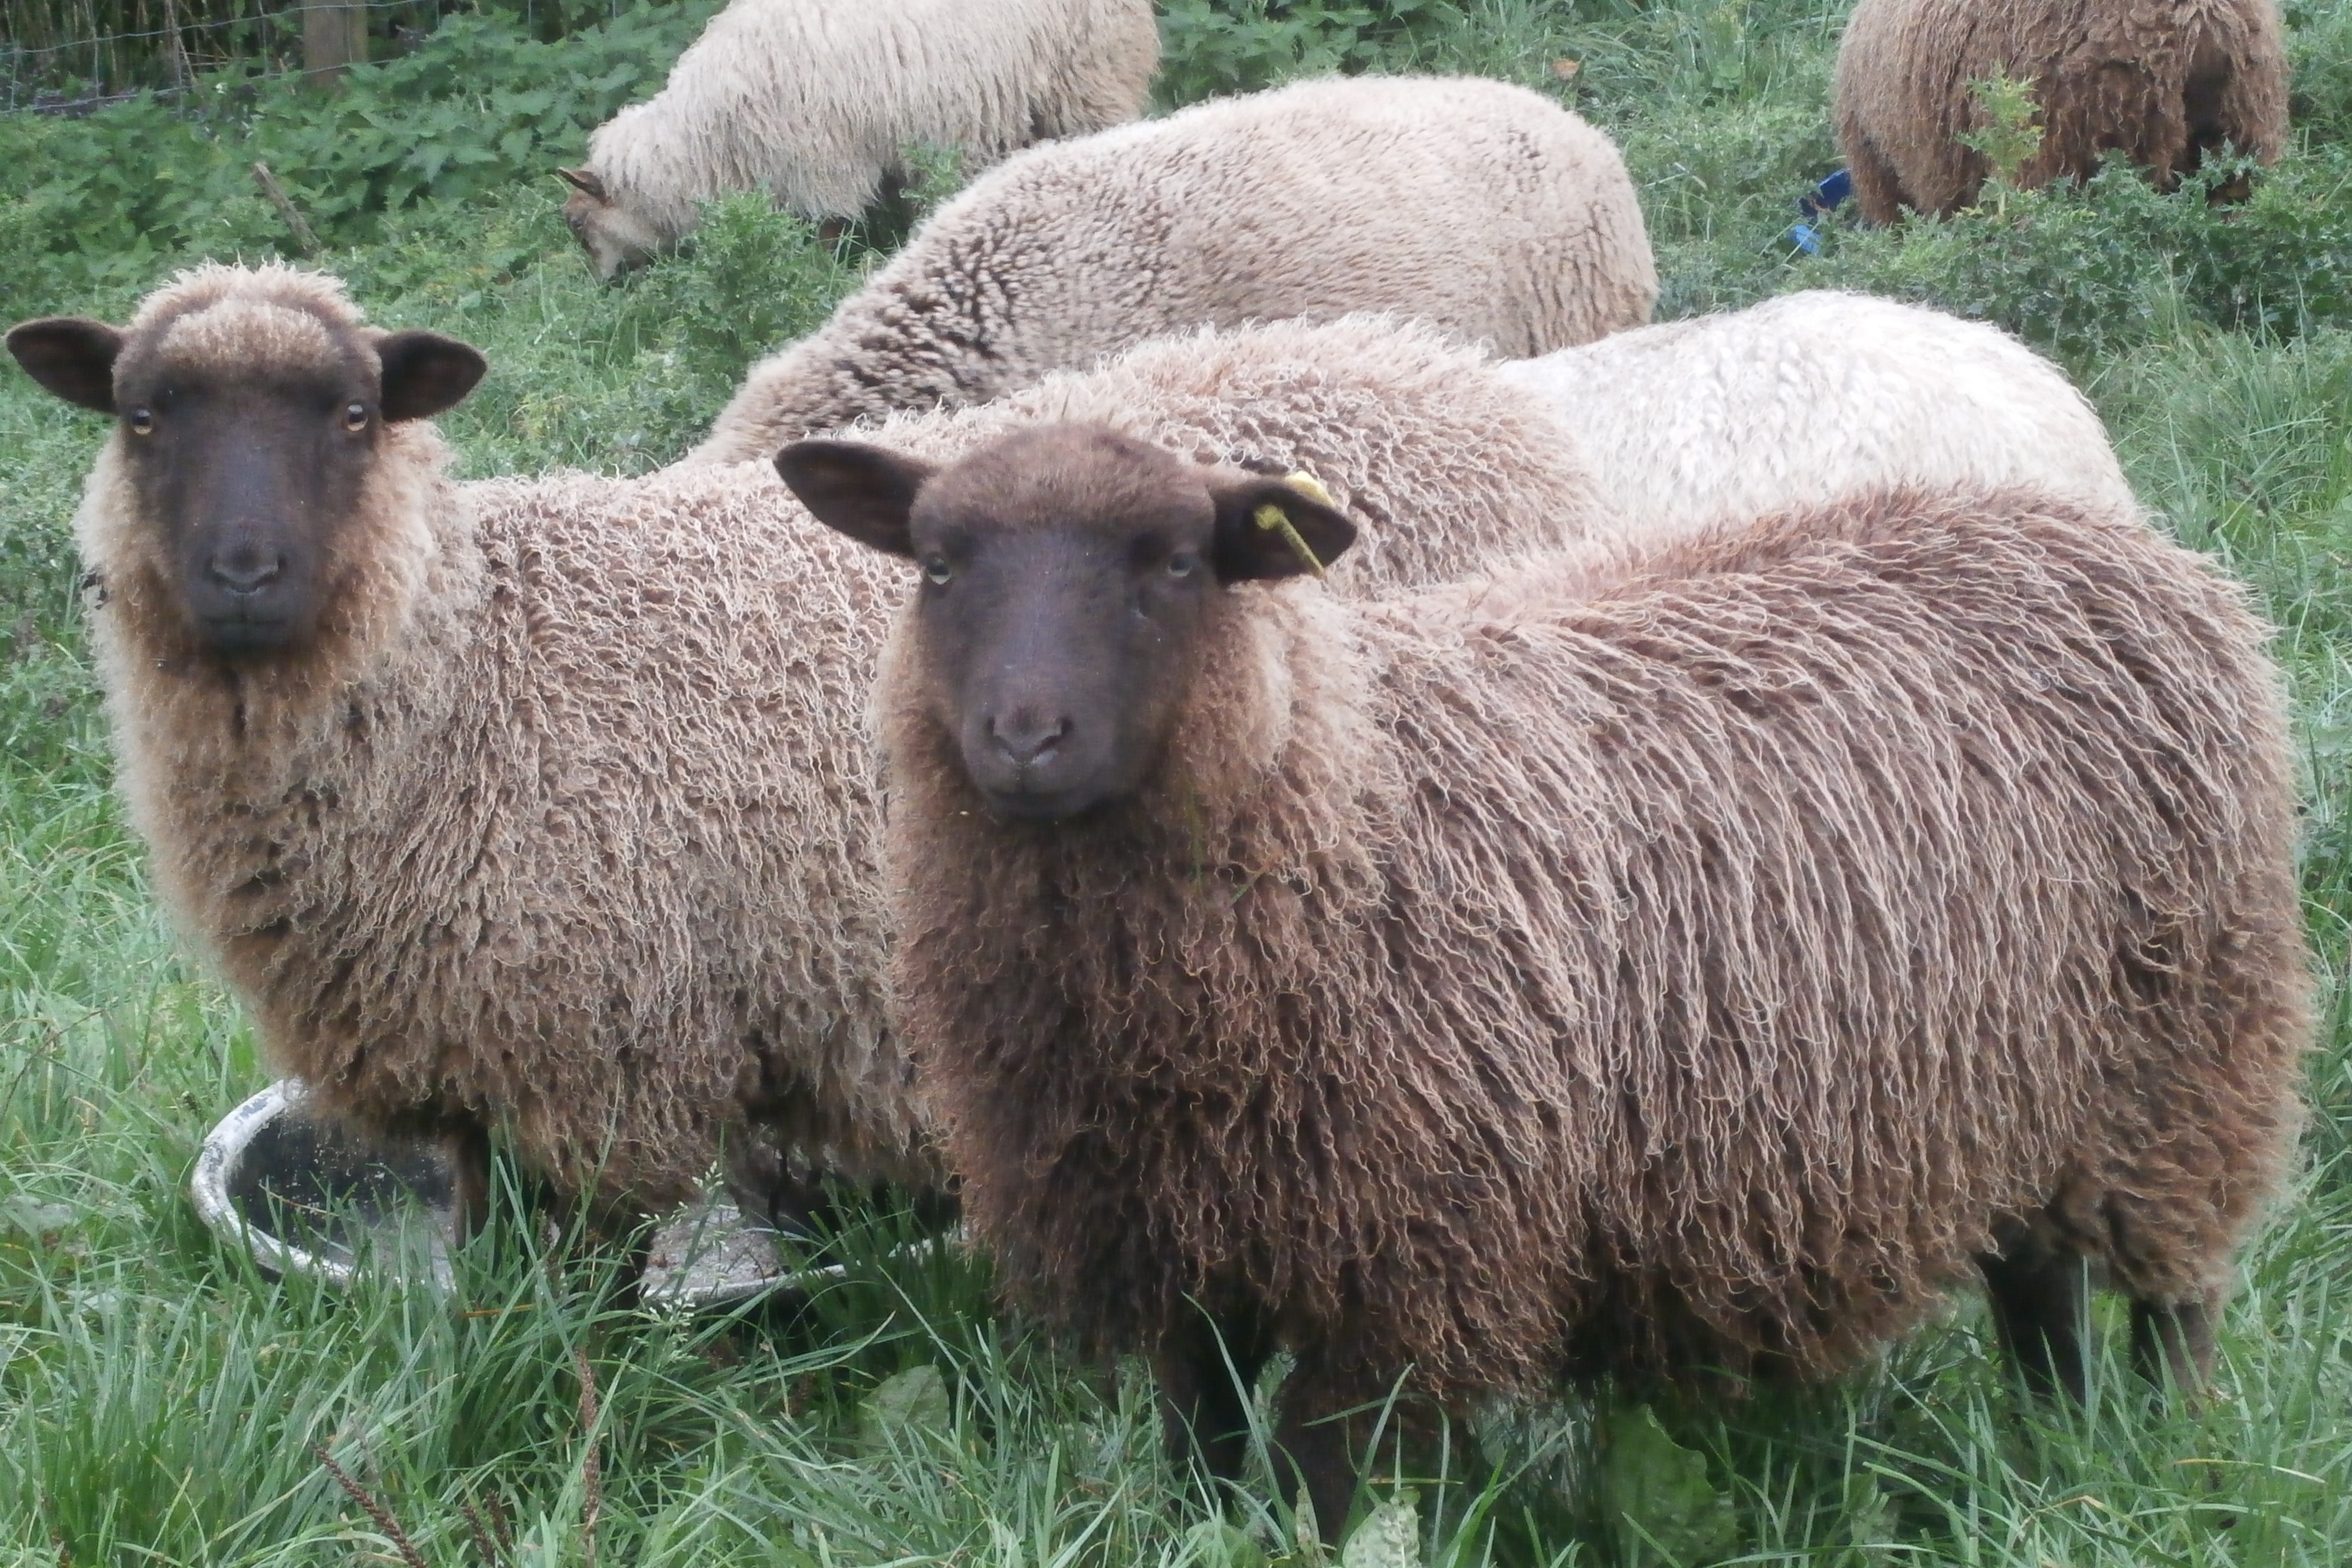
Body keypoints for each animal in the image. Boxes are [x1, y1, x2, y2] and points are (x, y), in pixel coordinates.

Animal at [5, 271, 1608, 1223]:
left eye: (351, 415)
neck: (475, 665)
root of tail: (1470, 397)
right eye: (143, 415)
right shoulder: (466, 1052)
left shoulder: (604, 1057)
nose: (244, 574)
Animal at [559, 0, 1159, 280]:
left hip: (1092, 79)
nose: (603, 289)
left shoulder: (821, 164)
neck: (708, 140)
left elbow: (829, 230)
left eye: (578, 225)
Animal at [780, 420, 2310, 1534]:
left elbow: (1324, 1484)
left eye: (1172, 562)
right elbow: (1201, 1451)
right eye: (936, 563)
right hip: (2021, 1081)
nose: (1023, 736)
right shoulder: (1177, 1249)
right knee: (2039, 1286)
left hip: (2183, 1053)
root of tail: (2126, 542)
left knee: (2174, 1296)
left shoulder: (1396, 1265)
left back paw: (2168, 1461)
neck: (1340, 796)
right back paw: (2056, 1440)